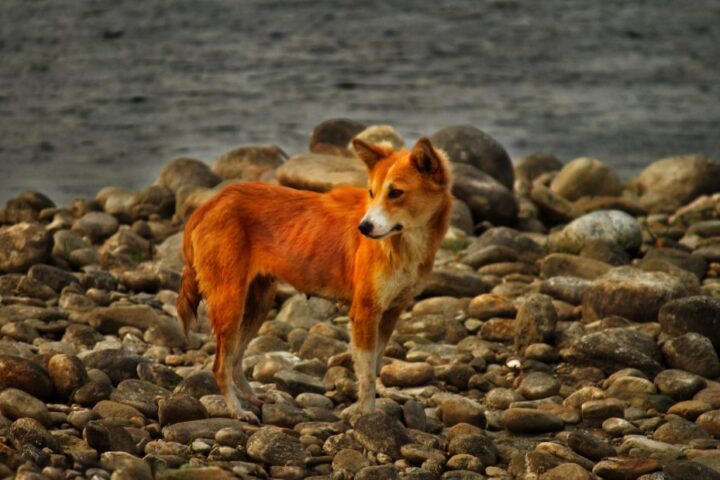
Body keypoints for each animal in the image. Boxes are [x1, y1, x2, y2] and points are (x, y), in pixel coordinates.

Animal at [178, 136, 452, 420]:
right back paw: (237, 411)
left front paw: (361, 410)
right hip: (230, 303)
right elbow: (366, 375)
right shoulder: (365, 312)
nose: (363, 228)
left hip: (258, 304)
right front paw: (366, 416)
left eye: (395, 192)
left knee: (234, 360)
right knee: (220, 366)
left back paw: (253, 398)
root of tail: (209, 204)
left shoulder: (390, 313)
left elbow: (373, 368)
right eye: (372, 192)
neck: (404, 243)